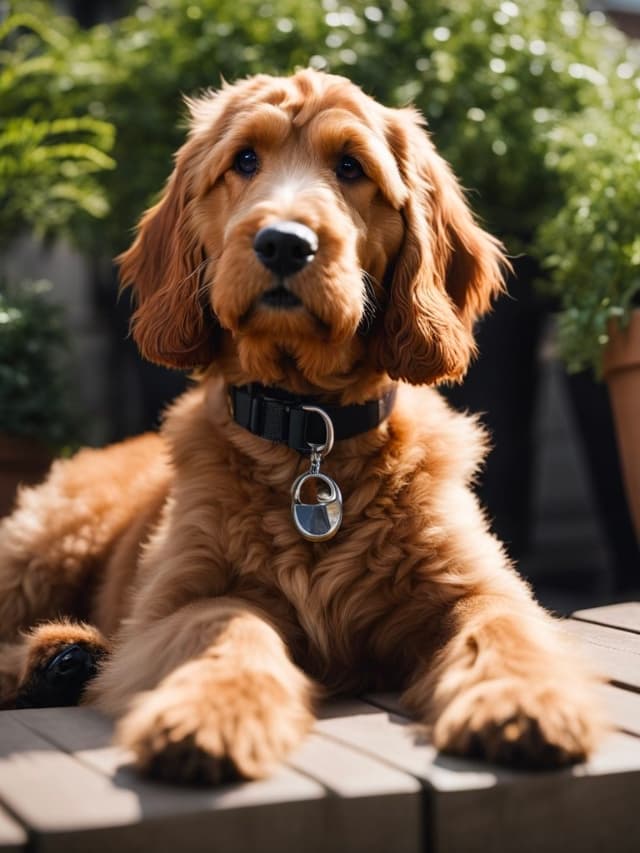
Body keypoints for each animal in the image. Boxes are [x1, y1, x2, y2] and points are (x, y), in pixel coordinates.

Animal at [0, 70, 600, 784]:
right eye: (244, 161)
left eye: (351, 166)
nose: (283, 242)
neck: (308, 429)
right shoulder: (174, 602)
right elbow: (230, 622)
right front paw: (214, 714)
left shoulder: (479, 585)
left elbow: (501, 631)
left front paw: (522, 703)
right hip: (47, 543)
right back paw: (58, 659)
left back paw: (67, 658)